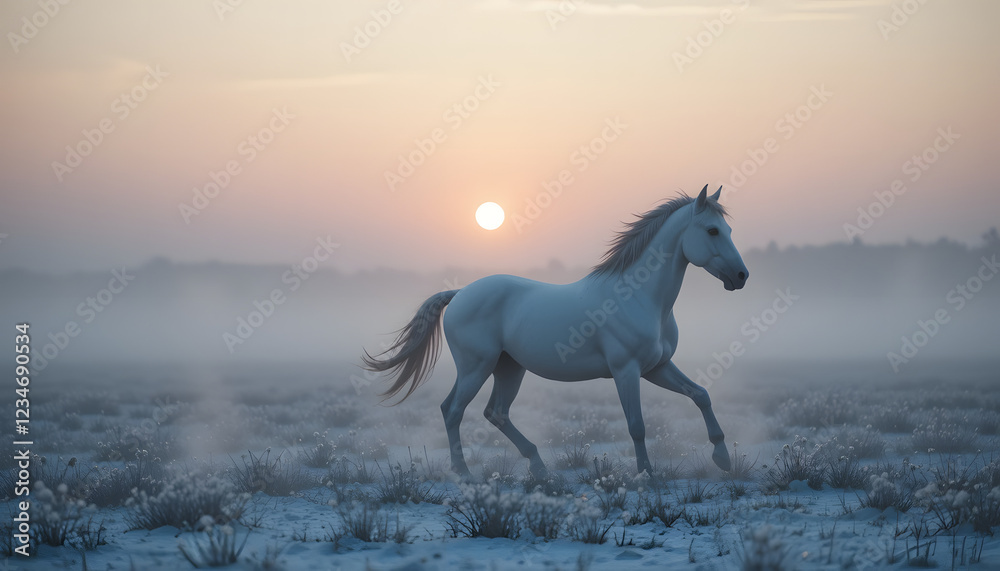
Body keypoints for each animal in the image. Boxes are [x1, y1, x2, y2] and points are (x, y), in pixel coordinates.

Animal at [363, 185, 749, 477]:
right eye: (712, 231)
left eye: (729, 230)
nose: (741, 276)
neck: (641, 299)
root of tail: (459, 294)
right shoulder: (626, 371)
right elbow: (637, 425)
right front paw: (646, 475)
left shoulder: (657, 367)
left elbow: (701, 395)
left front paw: (722, 458)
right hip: (476, 366)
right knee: (453, 409)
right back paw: (465, 474)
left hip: (509, 368)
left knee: (495, 412)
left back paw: (538, 467)